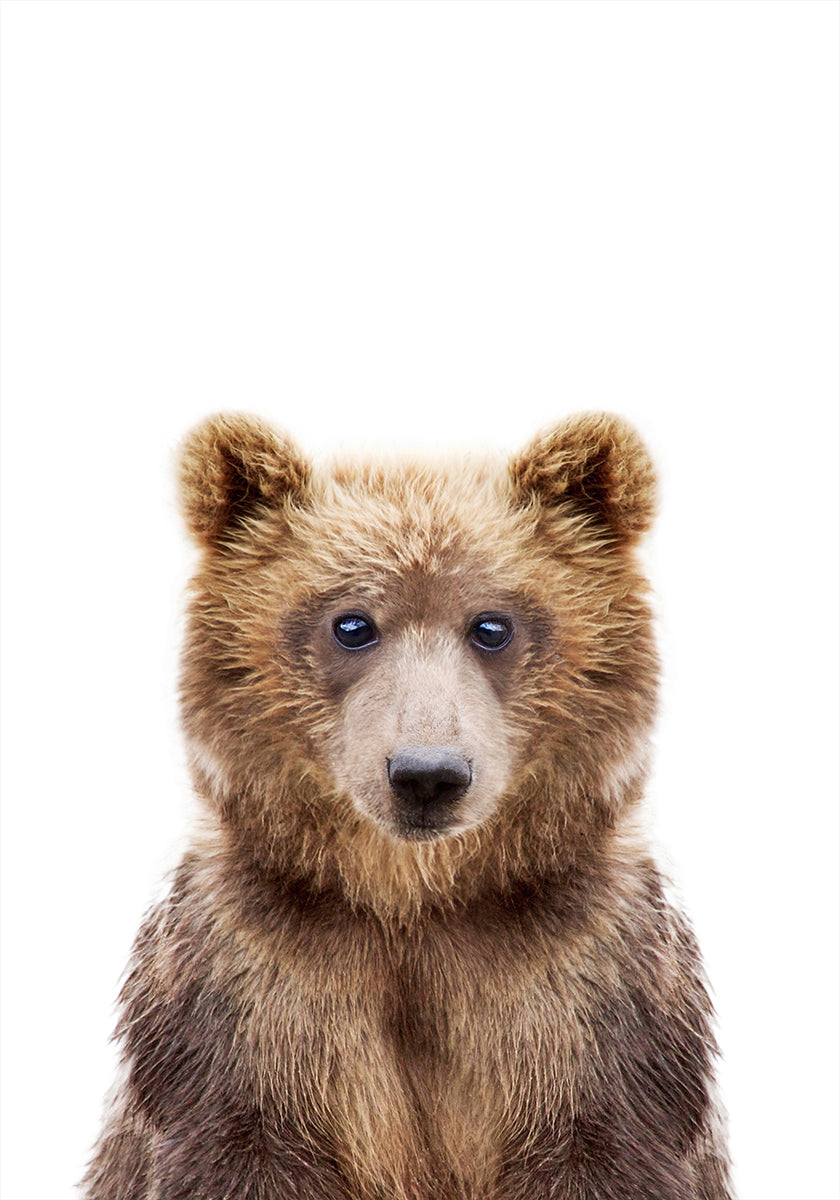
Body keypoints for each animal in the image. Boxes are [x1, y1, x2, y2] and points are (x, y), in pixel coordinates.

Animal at [81, 412, 732, 1200]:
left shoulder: (587, 997)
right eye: (352, 623)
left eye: (492, 624)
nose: (427, 774)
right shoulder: (248, 996)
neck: (414, 902)